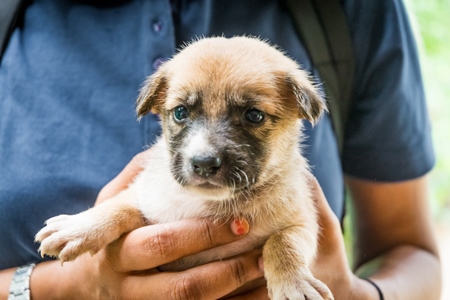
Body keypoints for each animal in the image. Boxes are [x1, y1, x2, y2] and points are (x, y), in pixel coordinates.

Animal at [37, 36, 334, 298]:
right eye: (180, 112)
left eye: (254, 115)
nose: (203, 163)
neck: (209, 203)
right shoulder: (146, 198)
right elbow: (118, 205)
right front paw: (77, 227)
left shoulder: (304, 222)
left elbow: (283, 243)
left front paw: (294, 285)